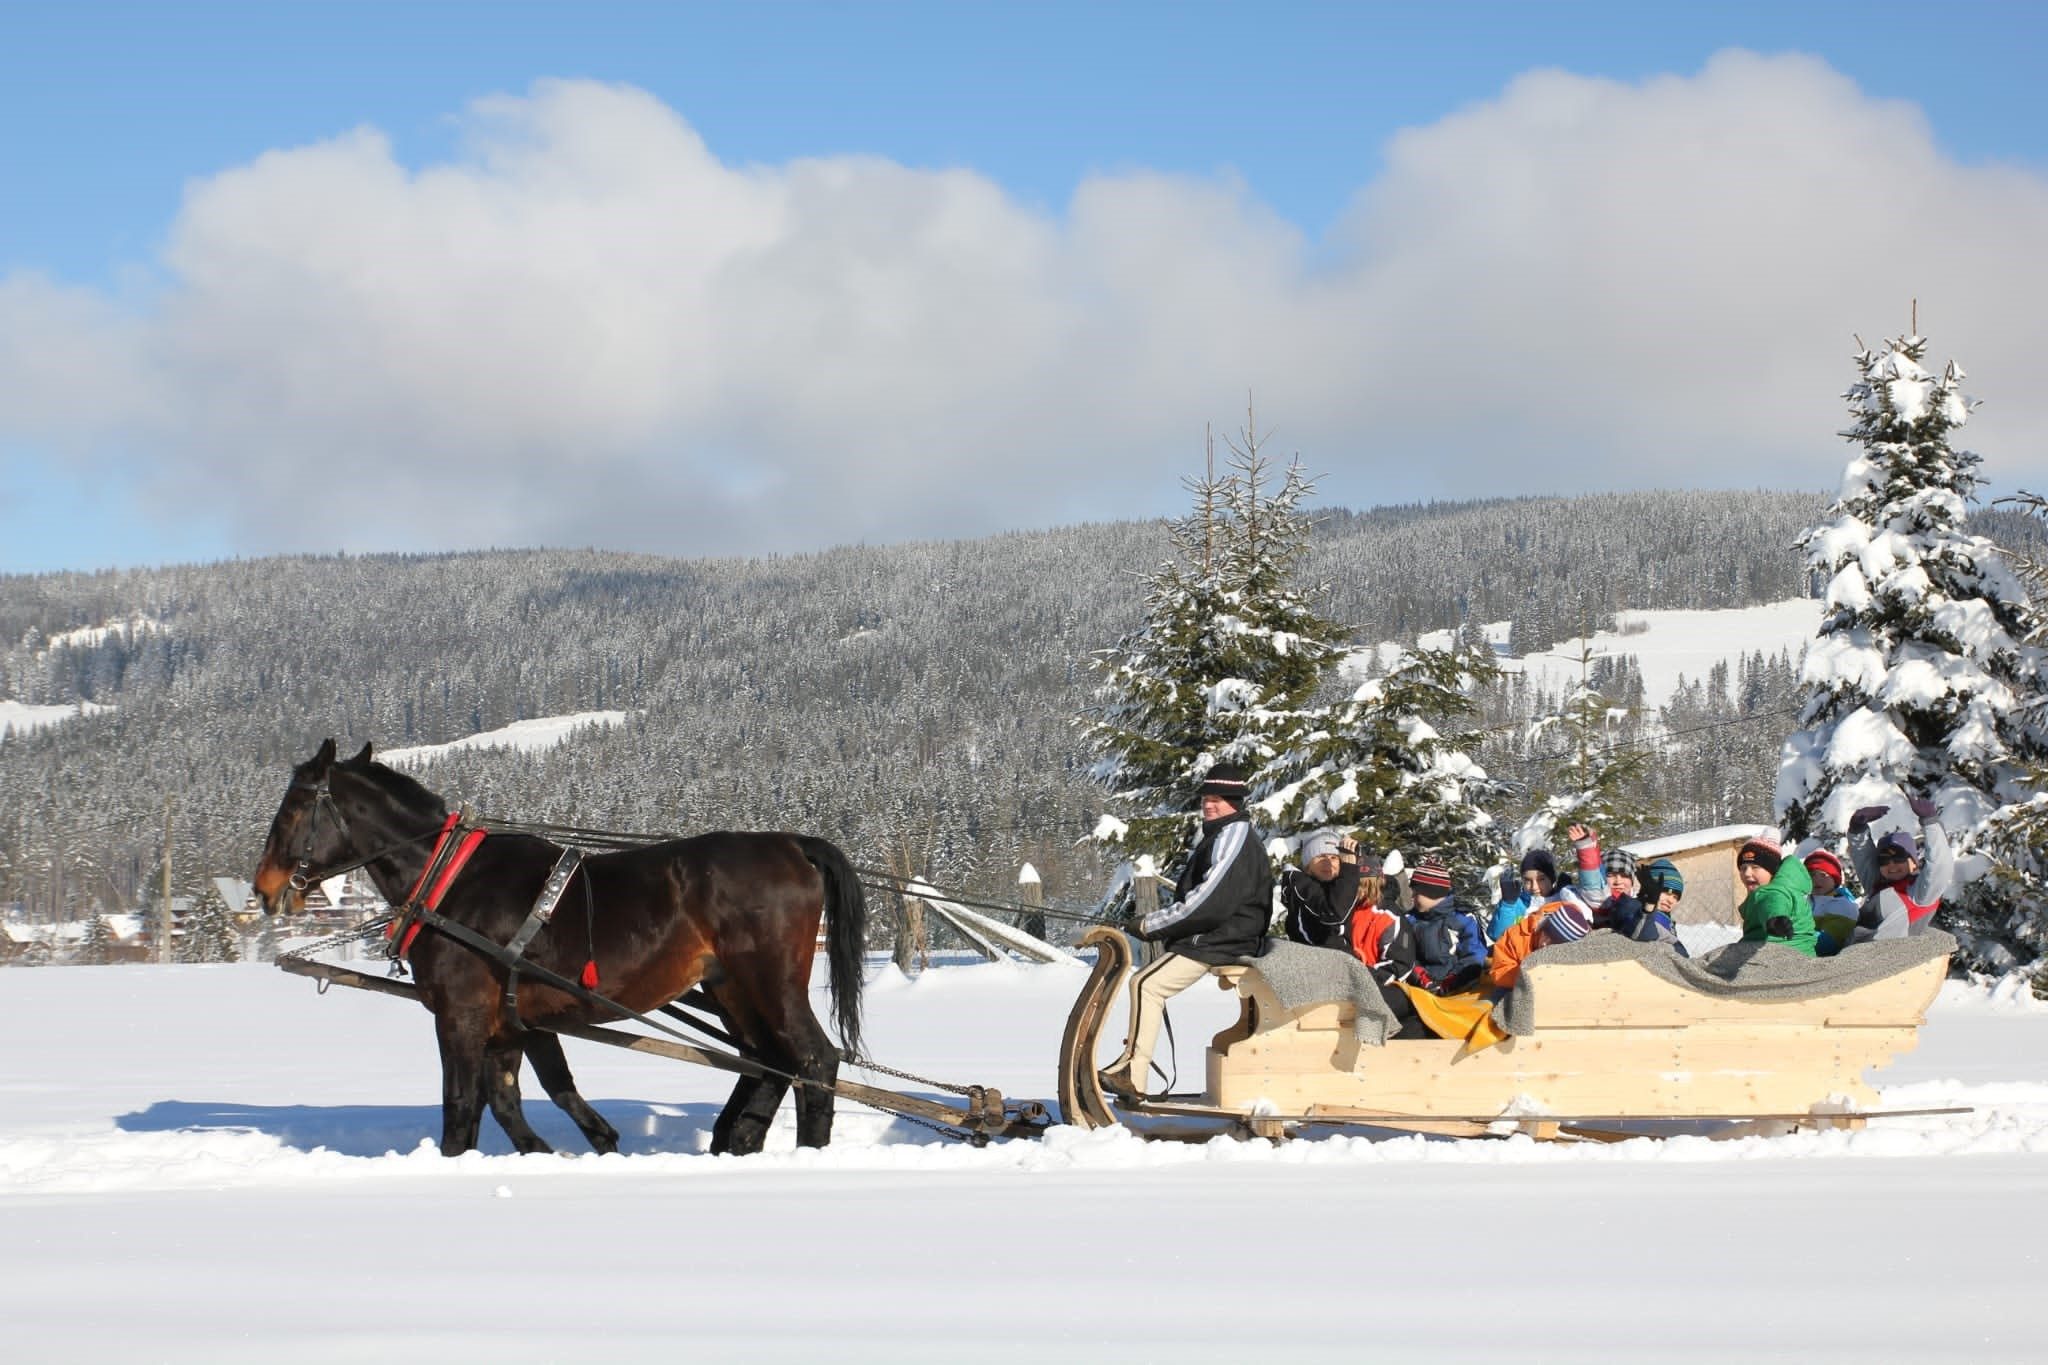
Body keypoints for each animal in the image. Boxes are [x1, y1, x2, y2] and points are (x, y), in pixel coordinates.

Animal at [253, 740, 864, 1162]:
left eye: (294, 806)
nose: (264, 888)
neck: (451, 881)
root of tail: (794, 845)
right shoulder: (513, 1020)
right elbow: (518, 1097)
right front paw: (580, 1145)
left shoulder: (461, 1014)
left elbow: (461, 1107)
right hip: (730, 986)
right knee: (768, 1061)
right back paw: (737, 1139)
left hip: (770, 980)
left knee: (813, 1059)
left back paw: (805, 1154)